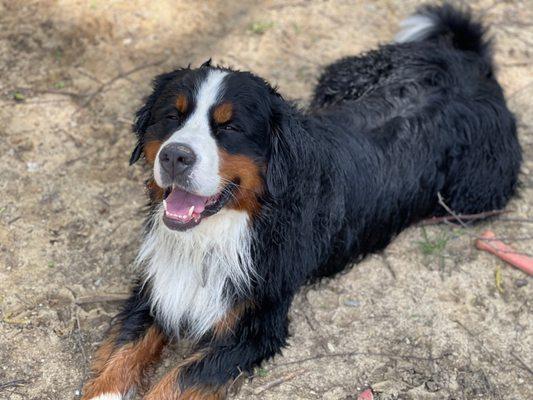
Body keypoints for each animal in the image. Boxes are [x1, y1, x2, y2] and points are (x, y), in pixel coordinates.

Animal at [80, 3, 520, 400]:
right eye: (172, 116)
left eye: (230, 128)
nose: (174, 156)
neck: (229, 227)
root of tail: (468, 63)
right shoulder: (159, 286)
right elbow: (126, 346)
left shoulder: (256, 325)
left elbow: (181, 379)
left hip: (473, 198)